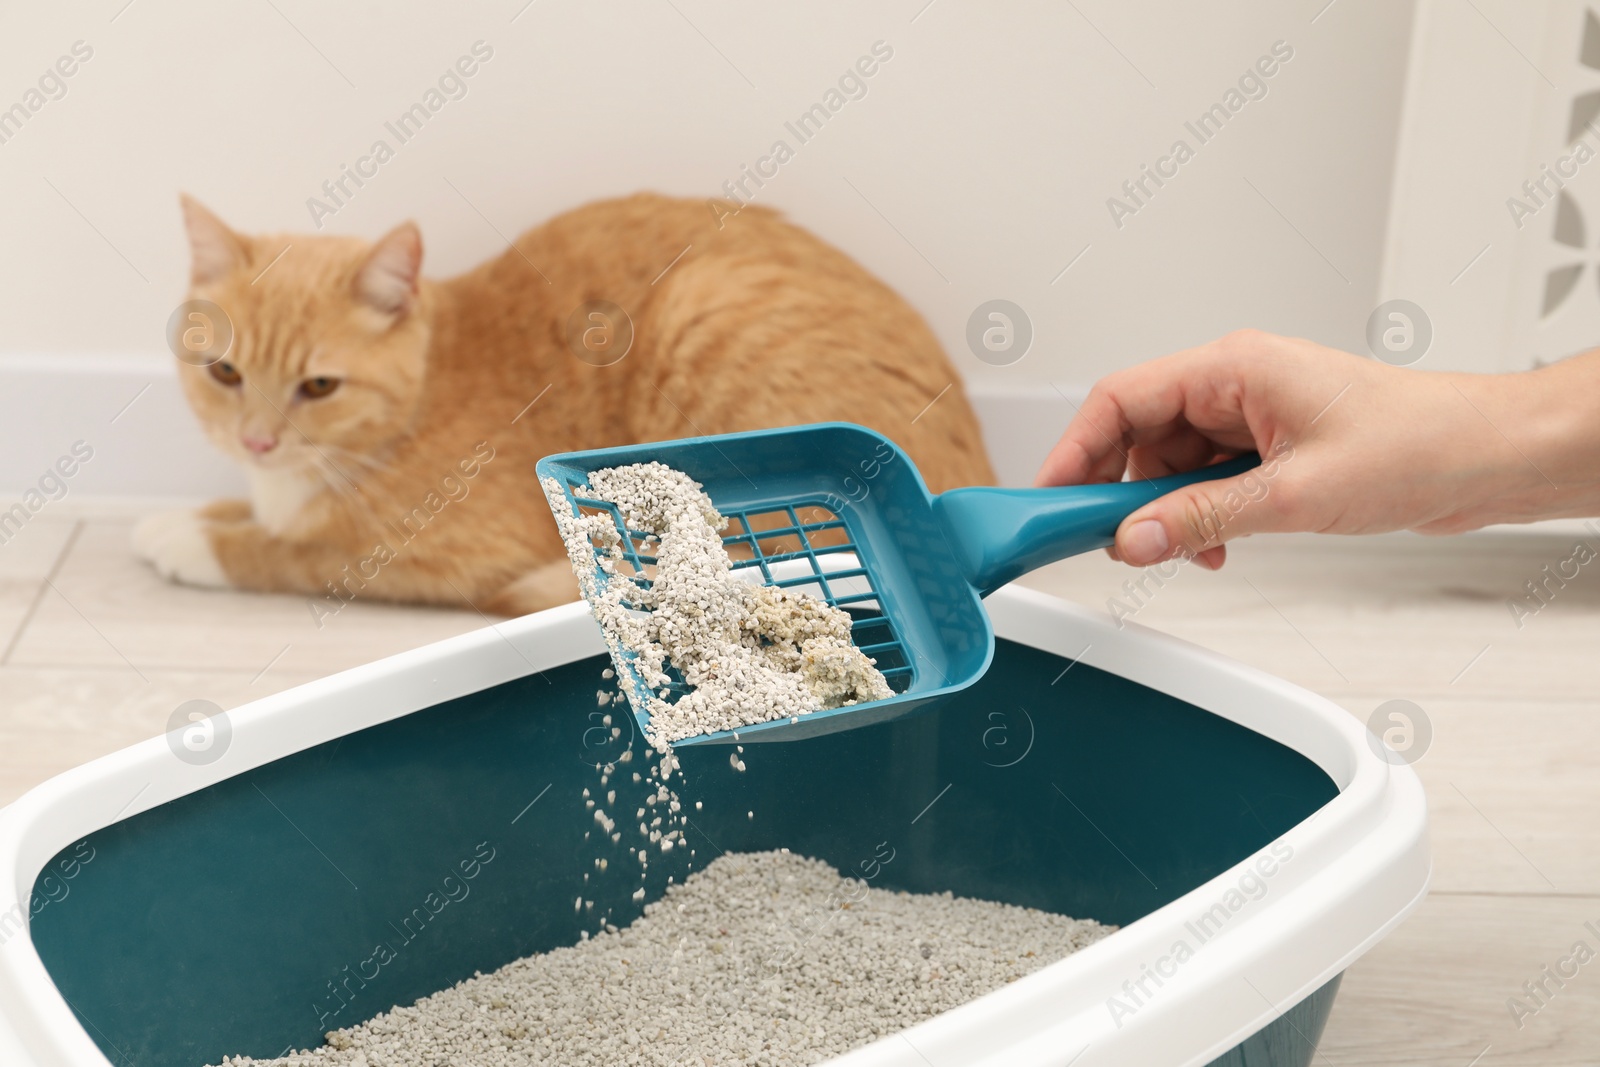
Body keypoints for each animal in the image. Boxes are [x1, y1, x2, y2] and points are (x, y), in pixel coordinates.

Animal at [137, 195, 992, 620]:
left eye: (318, 387)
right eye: (225, 372)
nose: (256, 442)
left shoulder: (452, 554)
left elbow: (292, 552)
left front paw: (193, 542)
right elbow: (254, 517)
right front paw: (191, 516)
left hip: (704, 309)